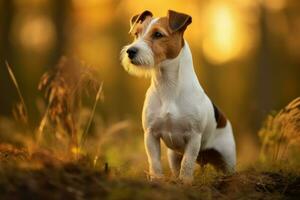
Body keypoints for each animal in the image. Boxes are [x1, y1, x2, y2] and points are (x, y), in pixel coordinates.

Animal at [120, 10, 236, 184]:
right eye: (136, 34)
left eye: (158, 34)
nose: (130, 51)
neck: (168, 86)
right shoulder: (150, 134)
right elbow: (154, 162)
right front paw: (157, 180)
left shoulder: (194, 136)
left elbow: (187, 163)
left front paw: (186, 182)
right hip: (173, 155)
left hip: (227, 159)